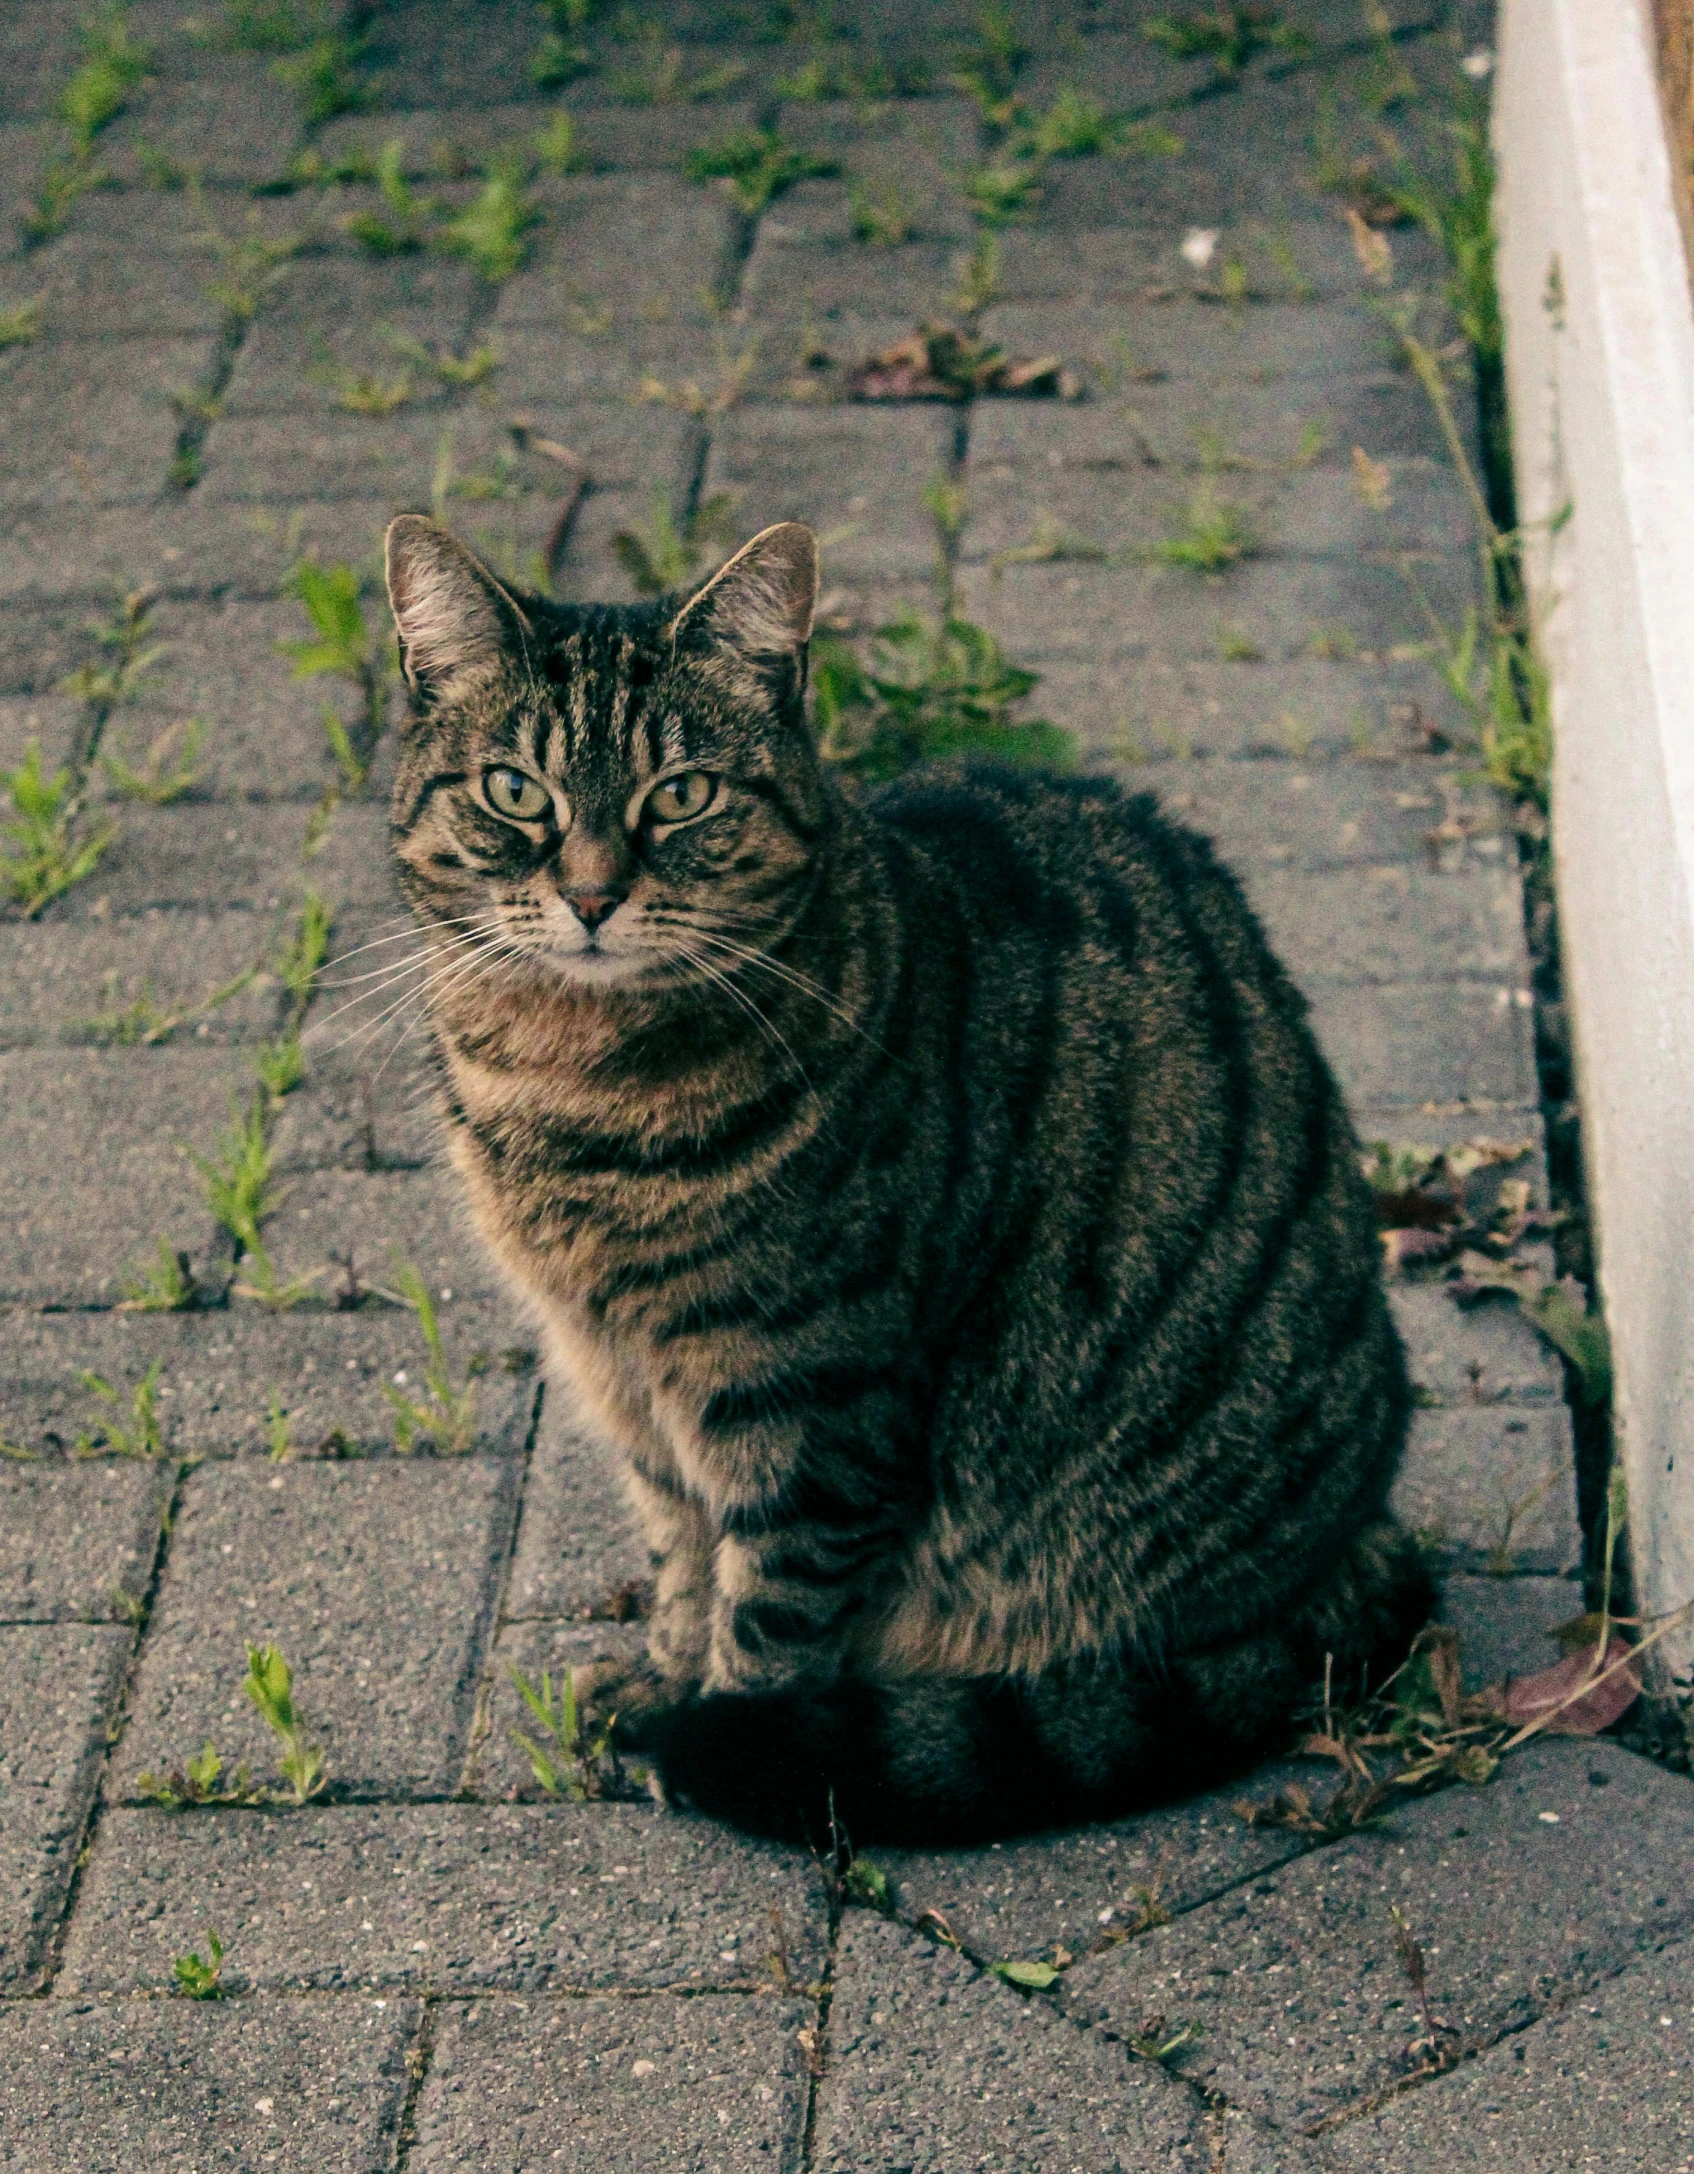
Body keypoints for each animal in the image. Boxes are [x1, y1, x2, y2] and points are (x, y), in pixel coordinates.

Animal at [380, 517, 1435, 1843]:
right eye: (515, 791)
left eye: (681, 794)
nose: (589, 895)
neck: (568, 1085)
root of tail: (1361, 1535)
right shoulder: (618, 1374)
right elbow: (680, 1546)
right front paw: (662, 1676)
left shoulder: (810, 1394)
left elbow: (770, 1610)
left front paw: (727, 1734)